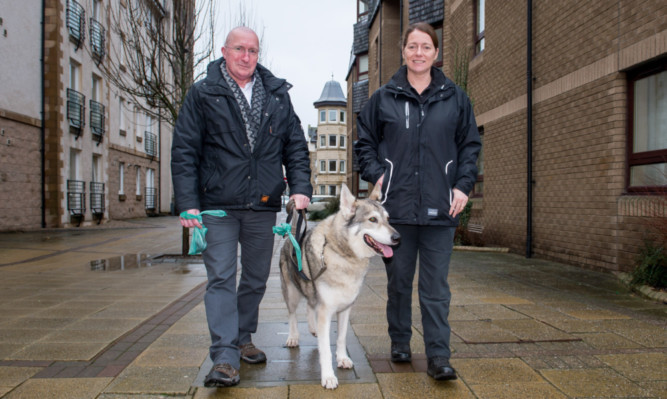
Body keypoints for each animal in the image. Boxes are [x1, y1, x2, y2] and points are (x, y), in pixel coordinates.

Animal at [278, 184, 400, 390]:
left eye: (388, 219)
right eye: (373, 219)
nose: (397, 237)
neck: (344, 255)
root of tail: (293, 234)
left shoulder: (345, 309)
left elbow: (341, 338)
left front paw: (342, 359)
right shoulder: (326, 311)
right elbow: (326, 349)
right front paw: (328, 377)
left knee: (309, 307)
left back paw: (313, 329)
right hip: (292, 294)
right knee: (293, 315)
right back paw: (293, 337)